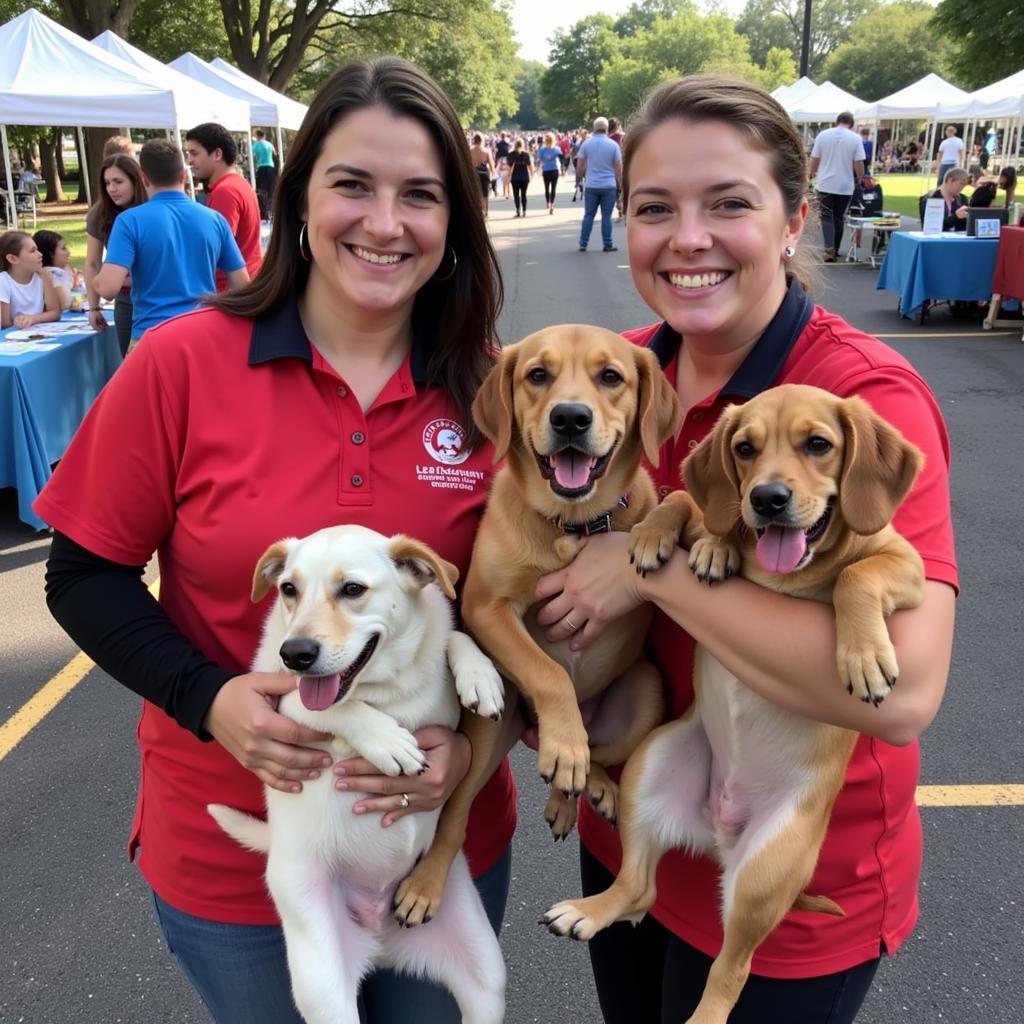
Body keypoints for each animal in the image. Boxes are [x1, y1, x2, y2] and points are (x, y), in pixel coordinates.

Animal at [208, 528, 507, 1024]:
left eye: (352, 589)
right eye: (288, 589)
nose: (296, 654)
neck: (389, 687)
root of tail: (378, 937)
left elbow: (452, 638)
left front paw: (480, 675)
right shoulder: (282, 700)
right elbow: (330, 708)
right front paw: (387, 741)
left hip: (486, 977)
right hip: (324, 988)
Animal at [389, 325, 679, 929]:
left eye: (610, 376)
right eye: (537, 375)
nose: (570, 418)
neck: (572, 525)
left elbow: (680, 501)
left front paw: (655, 535)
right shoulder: (486, 607)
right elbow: (549, 672)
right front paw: (562, 746)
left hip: (646, 690)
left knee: (603, 755)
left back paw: (590, 785)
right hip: (486, 736)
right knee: (455, 819)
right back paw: (428, 884)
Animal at [544, 385, 929, 1024]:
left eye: (818, 444)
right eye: (744, 450)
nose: (767, 500)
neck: (789, 574)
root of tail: (718, 833)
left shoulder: (905, 561)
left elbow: (859, 575)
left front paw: (865, 655)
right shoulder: (716, 508)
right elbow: (686, 503)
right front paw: (672, 539)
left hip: (765, 873)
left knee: (732, 968)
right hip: (651, 767)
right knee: (639, 890)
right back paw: (588, 909)